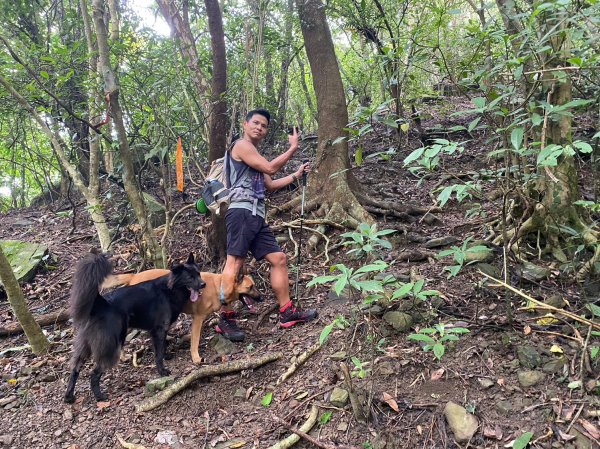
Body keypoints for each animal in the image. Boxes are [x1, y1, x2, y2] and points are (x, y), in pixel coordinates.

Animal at [63, 252, 204, 402]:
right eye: (190, 277)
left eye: (198, 273)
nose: (204, 284)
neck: (170, 289)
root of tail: (101, 304)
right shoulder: (159, 329)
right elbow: (159, 353)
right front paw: (162, 371)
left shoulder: (157, 331)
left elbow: (162, 347)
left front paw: (166, 356)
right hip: (111, 346)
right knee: (94, 373)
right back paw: (99, 396)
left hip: (86, 345)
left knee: (75, 368)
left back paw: (69, 396)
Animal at [102, 268, 260, 362]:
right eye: (250, 287)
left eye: (254, 285)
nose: (262, 297)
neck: (220, 286)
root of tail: (134, 275)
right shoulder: (198, 318)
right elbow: (195, 341)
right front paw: (196, 357)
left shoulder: (200, 319)